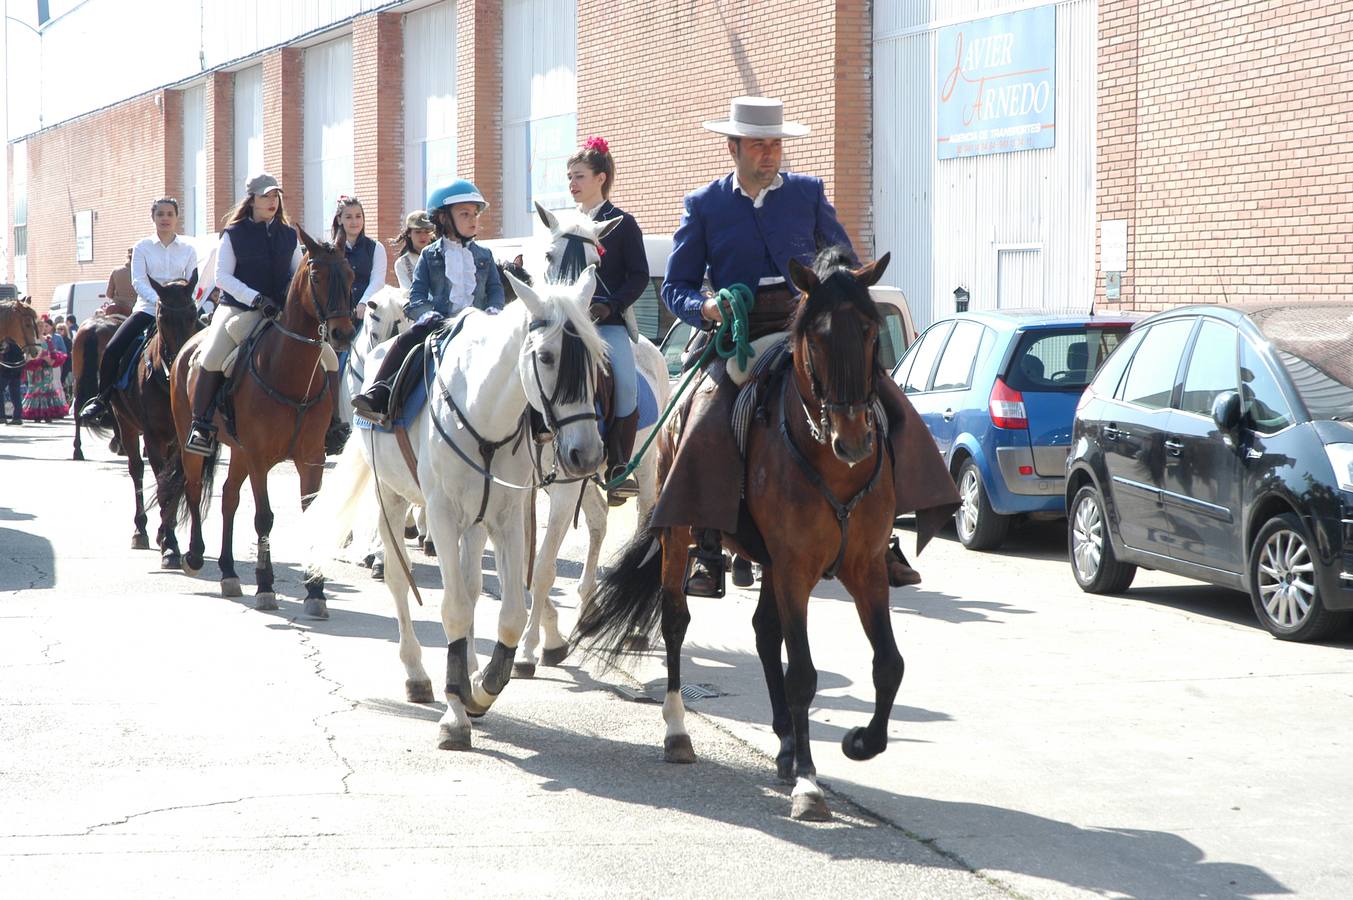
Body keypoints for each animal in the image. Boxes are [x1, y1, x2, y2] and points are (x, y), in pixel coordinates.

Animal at [101, 276, 202, 563]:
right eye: (162, 316)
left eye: (193, 313)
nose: (181, 363)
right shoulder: (153, 437)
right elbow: (161, 485)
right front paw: (170, 544)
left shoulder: (181, 439)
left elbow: (173, 484)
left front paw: (168, 538)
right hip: (126, 426)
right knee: (136, 470)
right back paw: (141, 530)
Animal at [171, 226, 354, 611]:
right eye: (317, 276)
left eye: (350, 275)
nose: (343, 334)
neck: (289, 373)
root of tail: (187, 348)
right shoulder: (259, 457)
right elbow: (264, 518)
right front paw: (266, 585)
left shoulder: (311, 457)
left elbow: (308, 511)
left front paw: (315, 589)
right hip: (193, 443)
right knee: (194, 490)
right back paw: (194, 556)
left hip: (238, 451)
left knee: (228, 497)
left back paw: (228, 572)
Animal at [307, 270, 608, 747]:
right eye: (546, 356)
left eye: (595, 358)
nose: (587, 454)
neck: (483, 414)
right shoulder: (444, 517)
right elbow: (452, 609)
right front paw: (454, 713)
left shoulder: (506, 518)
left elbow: (508, 614)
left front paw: (481, 689)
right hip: (392, 499)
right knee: (401, 582)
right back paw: (416, 673)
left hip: (476, 523)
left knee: (469, 586)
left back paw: (467, 668)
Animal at [511, 203, 671, 673]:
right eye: (549, 254)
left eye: (595, 263)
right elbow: (528, 563)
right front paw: (549, 634)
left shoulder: (565, 486)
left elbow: (544, 566)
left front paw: (529, 647)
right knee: (598, 523)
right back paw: (586, 607)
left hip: (646, 464)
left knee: (642, 521)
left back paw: (633, 626)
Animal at [570, 249, 898, 817]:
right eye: (816, 339)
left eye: (870, 330)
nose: (853, 440)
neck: (832, 468)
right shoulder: (794, 569)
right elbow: (802, 673)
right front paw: (810, 783)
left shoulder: (866, 566)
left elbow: (888, 664)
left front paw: (862, 742)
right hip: (679, 531)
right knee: (676, 620)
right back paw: (679, 734)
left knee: (765, 633)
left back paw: (785, 743)